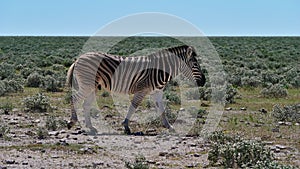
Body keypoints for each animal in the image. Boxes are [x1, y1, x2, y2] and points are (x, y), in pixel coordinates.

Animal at [66, 45, 205, 135]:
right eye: (195, 64)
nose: (203, 81)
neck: (160, 70)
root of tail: (78, 59)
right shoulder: (142, 90)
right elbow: (133, 106)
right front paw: (126, 126)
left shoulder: (157, 92)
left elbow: (162, 110)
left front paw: (169, 127)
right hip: (87, 85)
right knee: (74, 99)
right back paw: (72, 121)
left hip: (92, 87)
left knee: (86, 104)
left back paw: (91, 127)